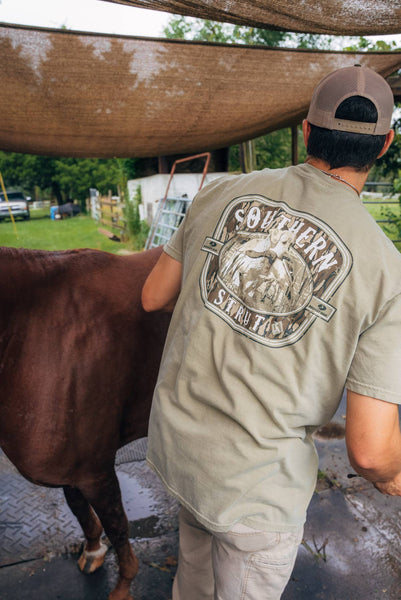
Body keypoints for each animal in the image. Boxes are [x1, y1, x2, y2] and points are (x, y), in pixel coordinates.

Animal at [0, 245, 170, 600]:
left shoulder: (96, 470)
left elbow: (117, 526)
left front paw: (122, 587)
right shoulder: (71, 466)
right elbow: (78, 508)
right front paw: (93, 550)